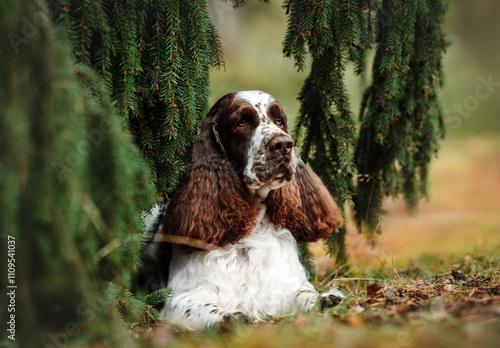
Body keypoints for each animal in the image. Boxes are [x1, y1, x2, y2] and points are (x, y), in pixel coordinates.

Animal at [143, 89, 342, 328]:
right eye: (242, 122)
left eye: (279, 120)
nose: (284, 144)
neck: (250, 233)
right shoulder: (180, 299)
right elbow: (210, 310)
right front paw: (233, 316)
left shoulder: (285, 285)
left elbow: (305, 295)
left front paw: (328, 298)